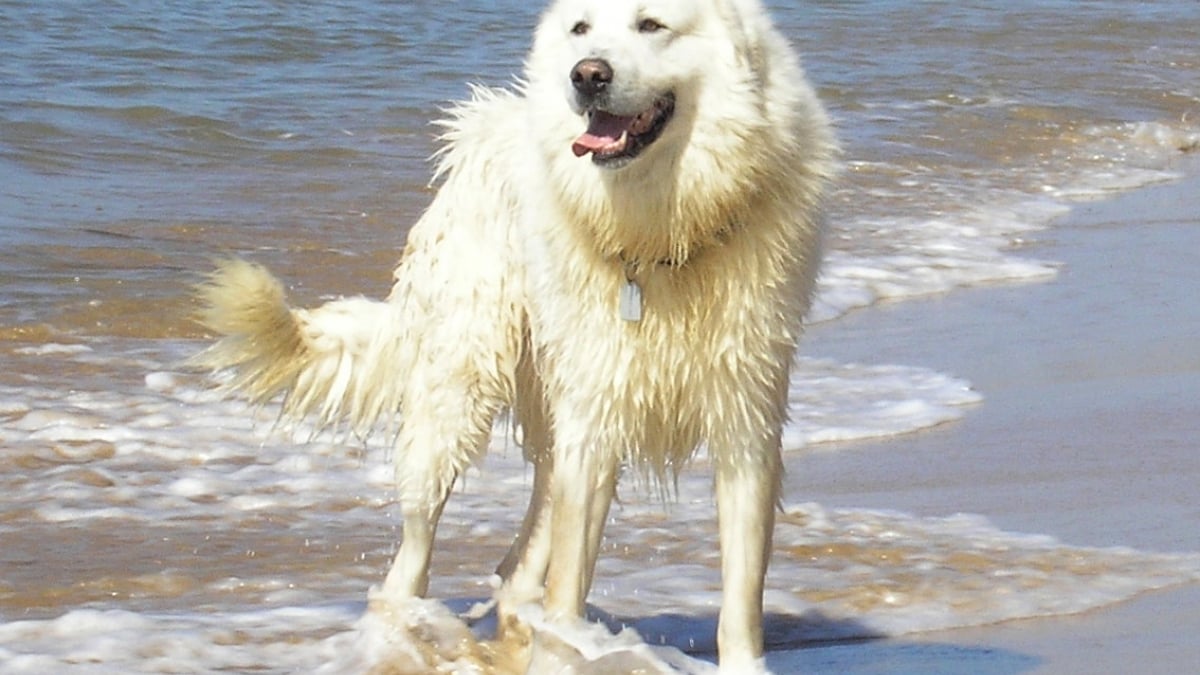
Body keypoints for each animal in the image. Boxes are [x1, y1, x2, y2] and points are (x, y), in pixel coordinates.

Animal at [194, 0, 835, 662]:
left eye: (652, 25)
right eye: (581, 29)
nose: (587, 75)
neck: (662, 233)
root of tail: (481, 128)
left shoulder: (746, 417)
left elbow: (742, 594)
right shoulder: (594, 414)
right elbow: (571, 575)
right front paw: (567, 644)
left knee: (518, 564)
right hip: (459, 391)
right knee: (413, 556)